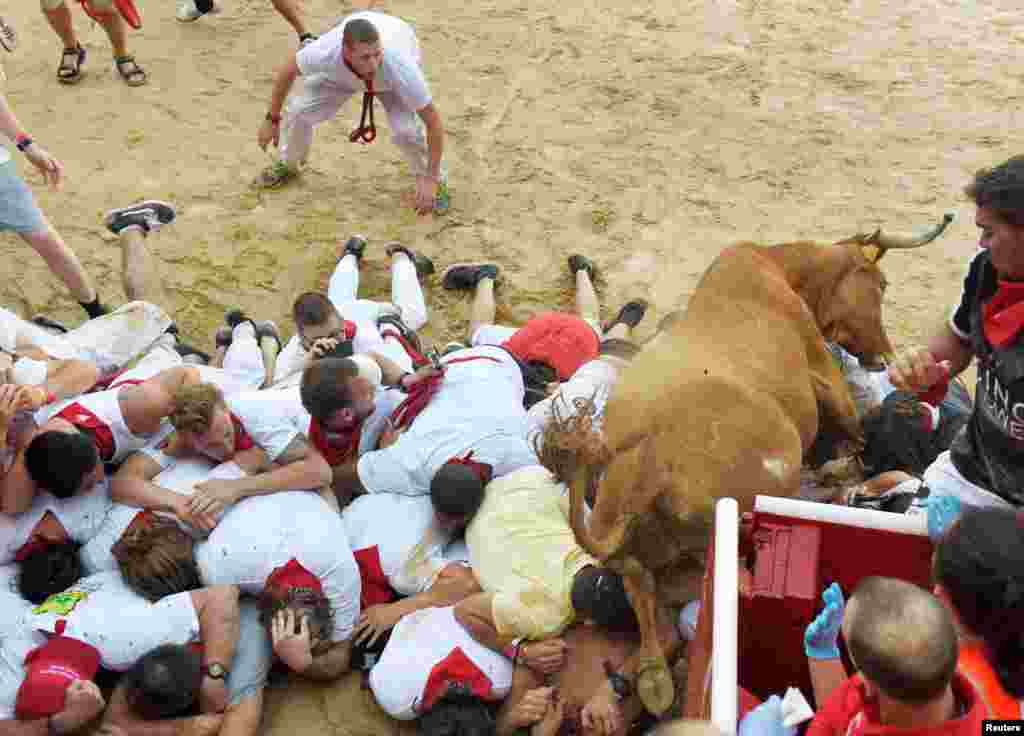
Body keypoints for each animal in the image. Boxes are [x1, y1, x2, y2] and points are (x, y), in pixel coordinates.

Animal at [565, 211, 946, 712]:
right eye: (879, 284)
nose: (883, 357)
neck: (777, 270)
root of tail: (650, 463)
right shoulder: (825, 376)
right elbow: (854, 426)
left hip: (622, 534)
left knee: (642, 595)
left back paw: (653, 679)